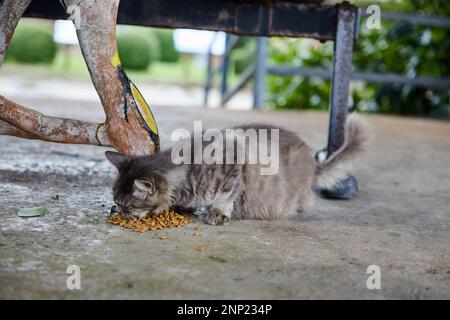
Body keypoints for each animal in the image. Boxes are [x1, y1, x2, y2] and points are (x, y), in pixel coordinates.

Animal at [105, 114, 370, 225]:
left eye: (128, 206)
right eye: (117, 202)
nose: (118, 211)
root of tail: (312, 161)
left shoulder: (234, 163)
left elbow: (225, 195)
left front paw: (218, 213)